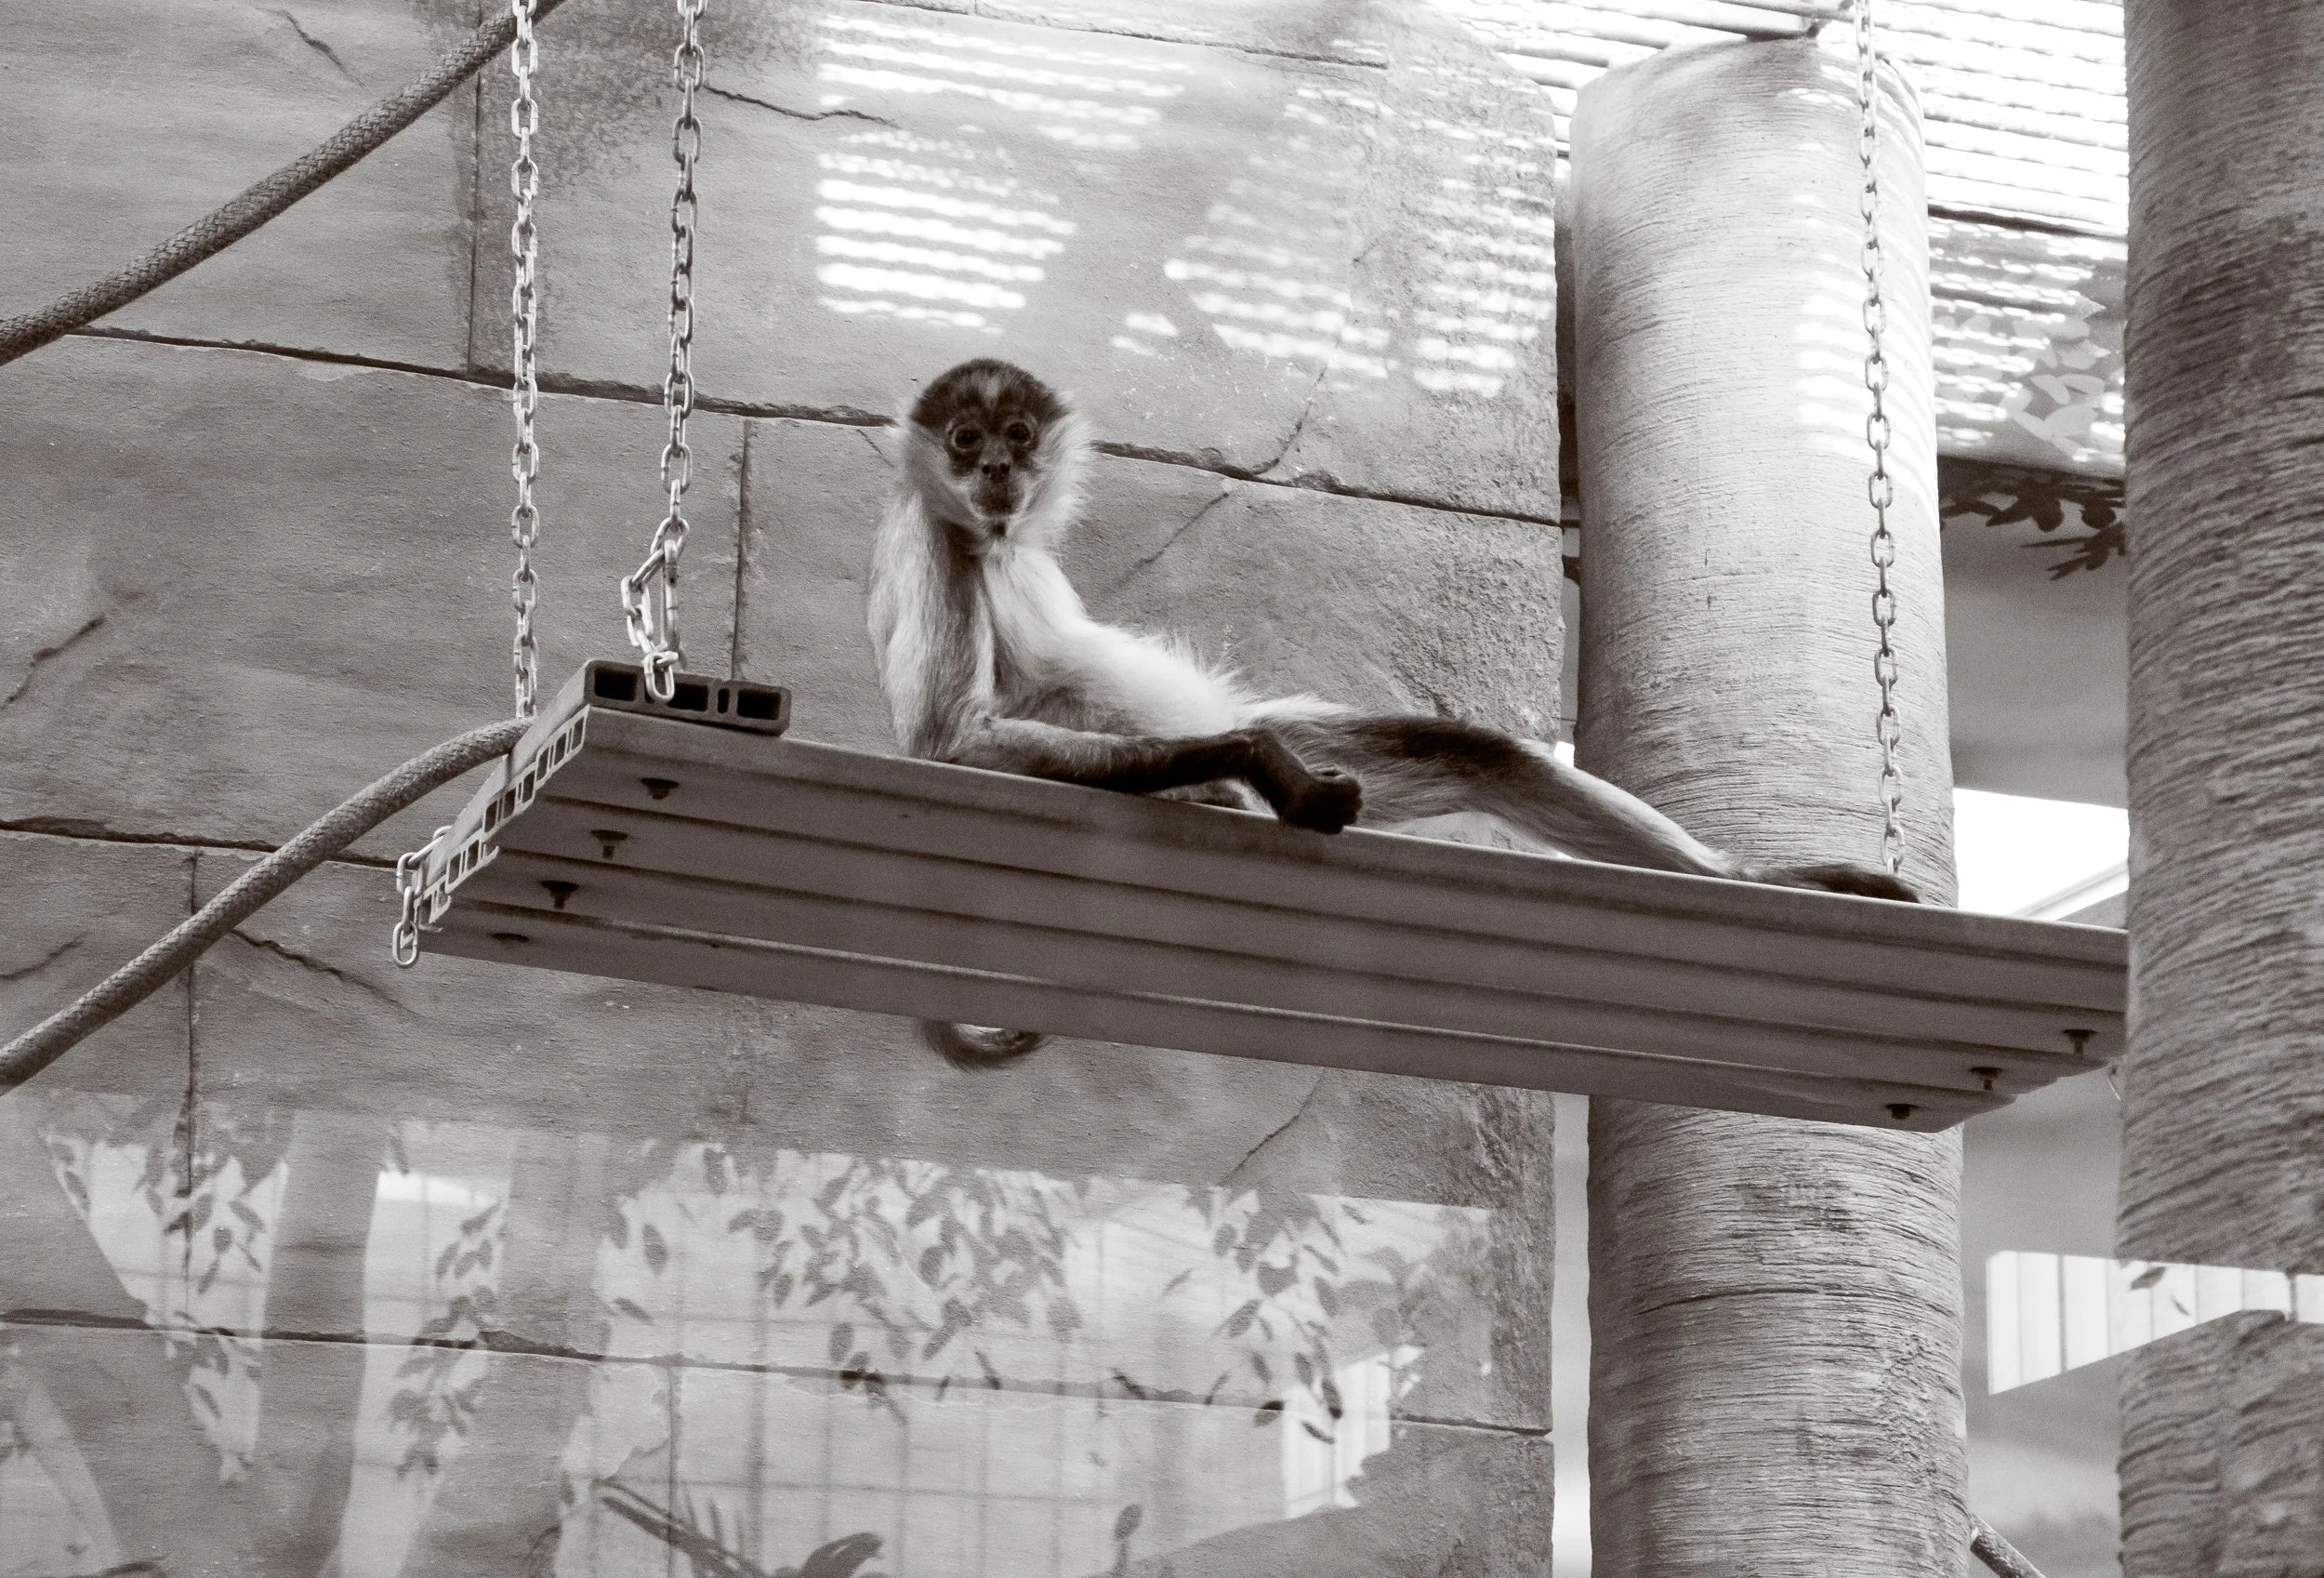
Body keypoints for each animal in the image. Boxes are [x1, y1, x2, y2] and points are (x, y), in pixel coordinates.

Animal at [868, 357, 1919, 1067]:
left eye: (1016, 437)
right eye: (964, 439)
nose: (995, 470)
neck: (999, 541)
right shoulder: (932, 534)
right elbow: (950, 741)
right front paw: (1254, 758)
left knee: (1486, 754)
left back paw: (1755, 879)